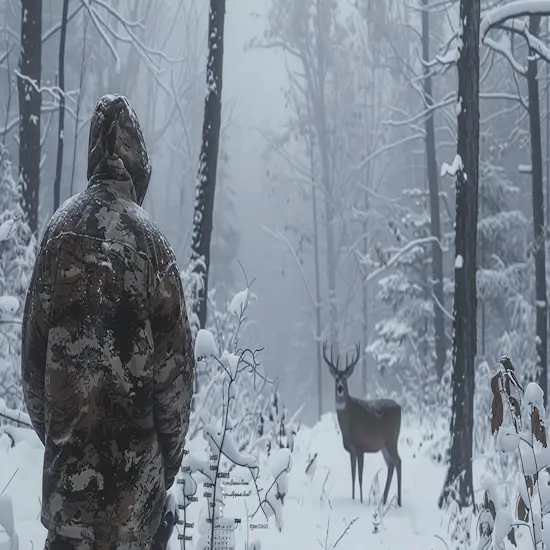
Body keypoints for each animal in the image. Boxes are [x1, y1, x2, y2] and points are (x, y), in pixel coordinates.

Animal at [324, 344, 406, 508]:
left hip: (392, 439)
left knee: (398, 462)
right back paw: (384, 499)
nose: (340, 388)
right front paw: (353, 498)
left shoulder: (360, 447)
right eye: (336, 378)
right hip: (384, 445)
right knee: (391, 464)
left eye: (345, 378)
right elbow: (353, 476)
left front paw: (361, 501)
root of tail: (399, 408)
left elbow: (360, 477)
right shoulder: (351, 450)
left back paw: (399, 502)